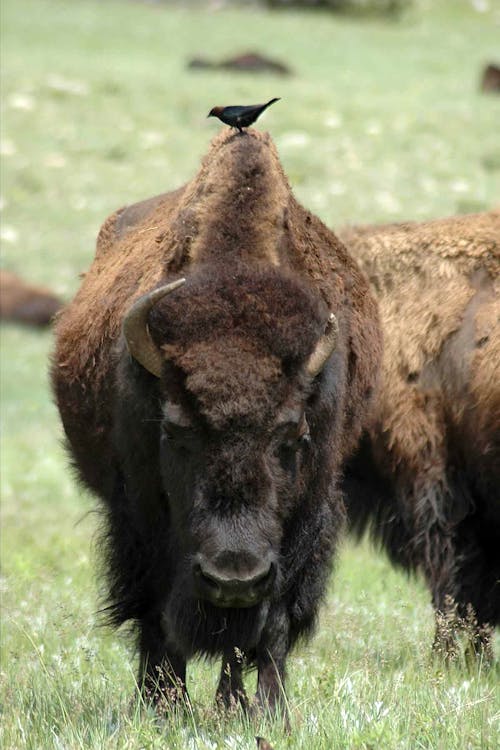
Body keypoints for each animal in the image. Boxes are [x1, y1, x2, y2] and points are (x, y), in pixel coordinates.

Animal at [52, 131, 380, 724]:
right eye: (175, 432)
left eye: (292, 435)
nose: (233, 577)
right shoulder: (140, 519)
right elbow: (157, 614)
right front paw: (163, 707)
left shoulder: (306, 520)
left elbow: (270, 625)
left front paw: (264, 712)